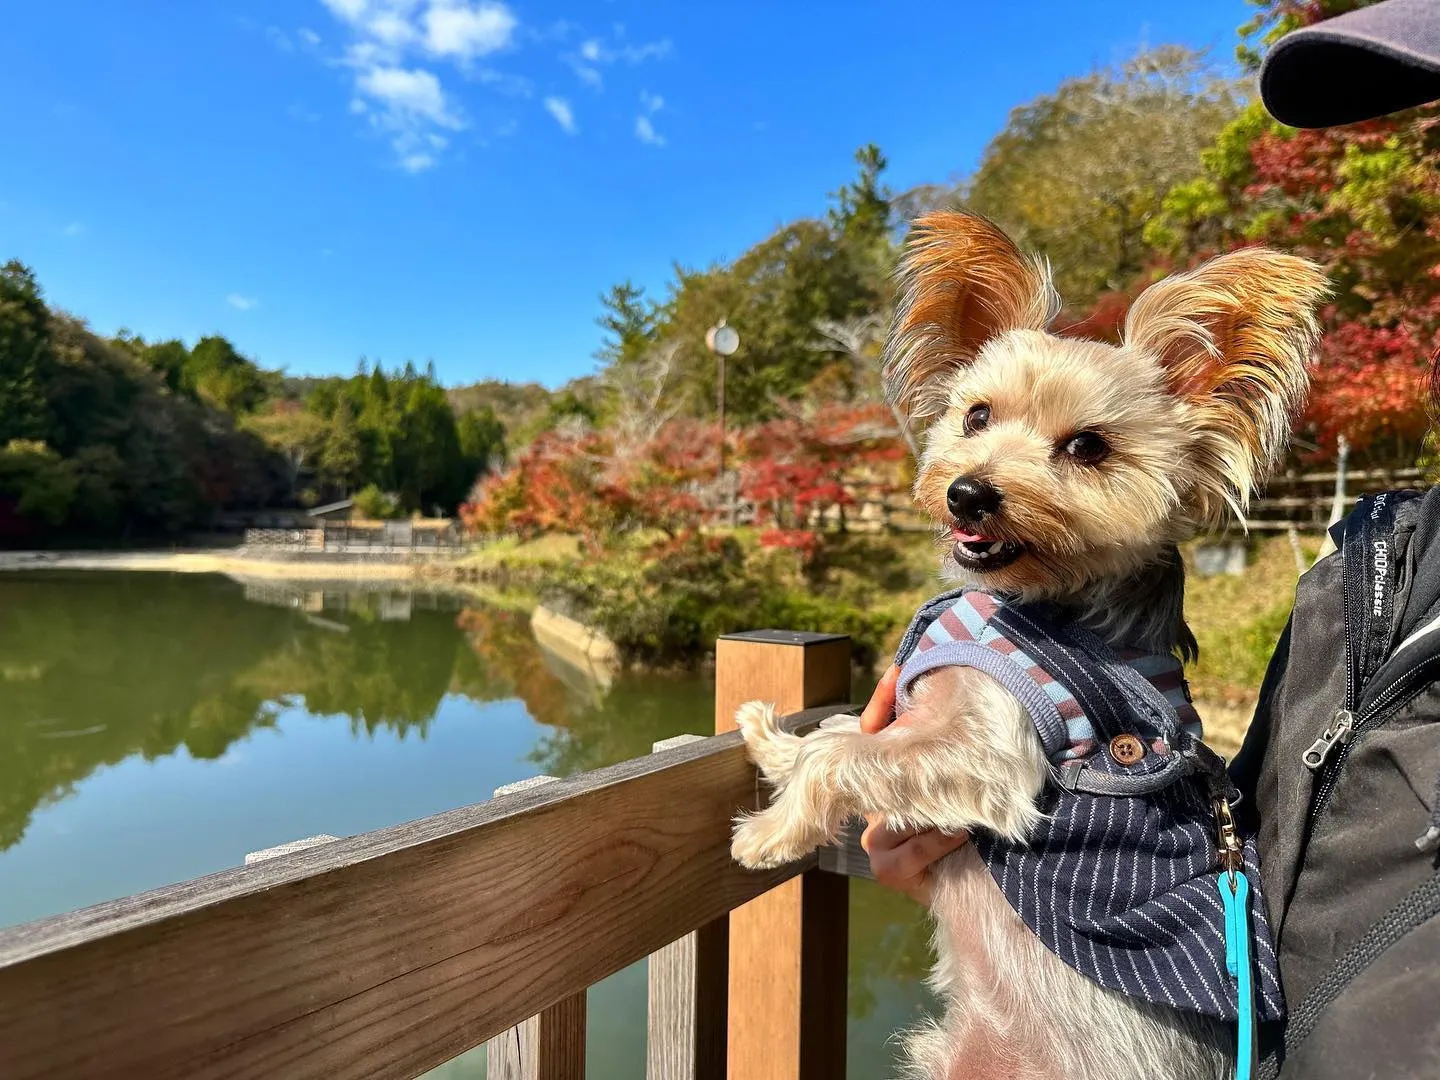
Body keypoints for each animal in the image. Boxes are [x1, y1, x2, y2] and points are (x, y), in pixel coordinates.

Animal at [731, 213, 1324, 1080]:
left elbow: (839, 755)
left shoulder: (989, 752)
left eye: (1087, 447)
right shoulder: (910, 715)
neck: (1038, 597)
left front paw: (767, 834)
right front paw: (768, 738)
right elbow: (836, 732)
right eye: (976, 416)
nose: (967, 492)